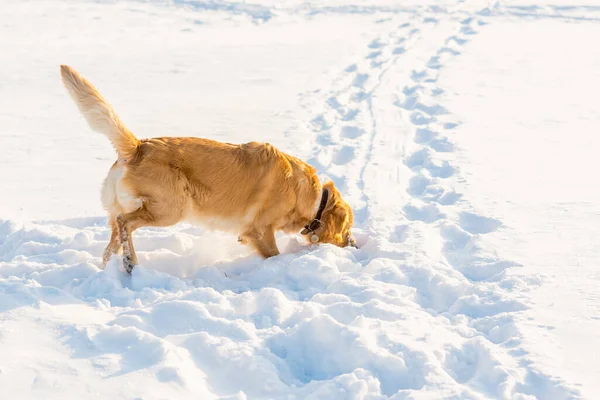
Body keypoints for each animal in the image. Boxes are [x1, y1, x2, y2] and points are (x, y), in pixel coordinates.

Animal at [59, 65, 356, 274]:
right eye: (348, 227)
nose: (353, 245)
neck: (311, 196)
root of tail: (138, 146)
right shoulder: (260, 230)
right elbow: (273, 254)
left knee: (112, 239)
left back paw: (111, 269)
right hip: (172, 207)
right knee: (125, 223)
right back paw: (131, 262)